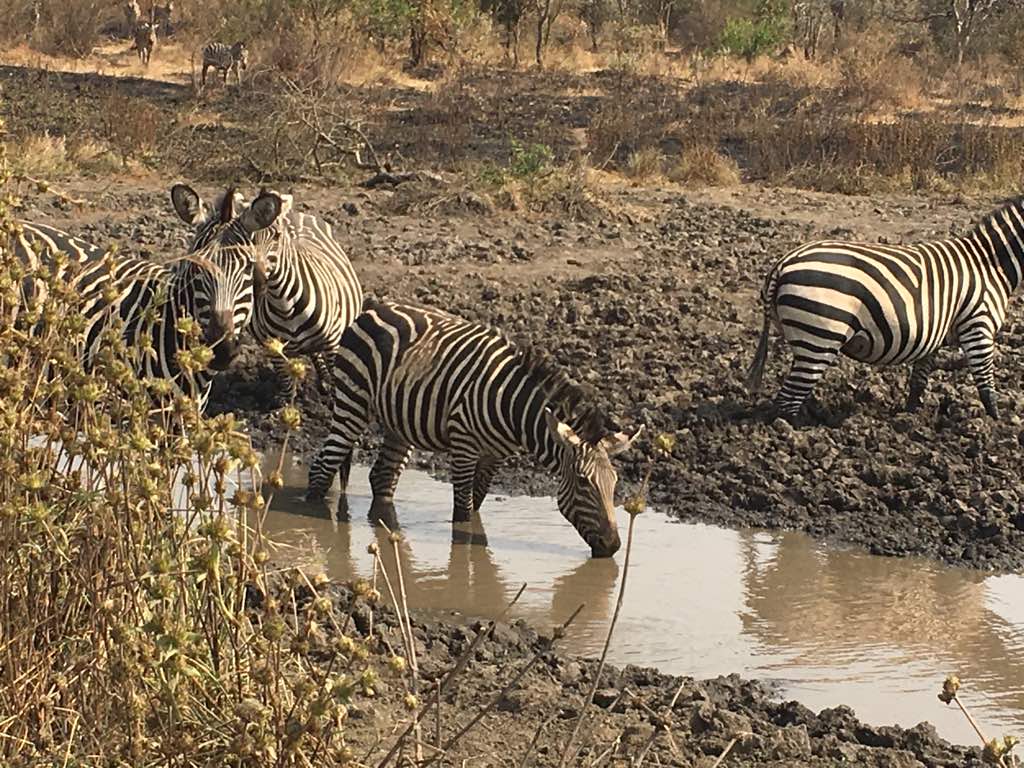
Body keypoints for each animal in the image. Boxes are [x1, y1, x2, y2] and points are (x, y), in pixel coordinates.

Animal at [174, 183, 366, 399]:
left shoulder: (333, 342)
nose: (258, 282)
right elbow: (287, 390)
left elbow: (335, 384)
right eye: (196, 267)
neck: (284, 305)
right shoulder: (272, 348)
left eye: (277, 237)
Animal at [303, 301, 638, 561]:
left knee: (382, 477)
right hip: (352, 402)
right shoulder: (464, 445)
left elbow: (476, 501)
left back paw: (385, 526)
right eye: (582, 482)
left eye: (614, 482)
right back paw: (317, 524)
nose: (612, 546)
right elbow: (463, 511)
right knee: (322, 467)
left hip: (399, 422)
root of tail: (372, 309)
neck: (513, 408)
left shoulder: (495, 455)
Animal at [745, 192, 1024, 421]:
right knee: (788, 401)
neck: (989, 264)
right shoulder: (978, 326)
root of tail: (783, 262)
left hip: (808, 339)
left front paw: (910, 416)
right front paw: (994, 424)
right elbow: (986, 385)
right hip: (819, 338)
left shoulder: (935, 334)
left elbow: (919, 380)